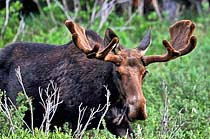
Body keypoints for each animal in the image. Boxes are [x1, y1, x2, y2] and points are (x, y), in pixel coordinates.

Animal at [0, 19, 197, 137]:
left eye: (145, 72)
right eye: (118, 72)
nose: (138, 109)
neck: (108, 98)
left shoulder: (119, 123)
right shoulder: (74, 123)